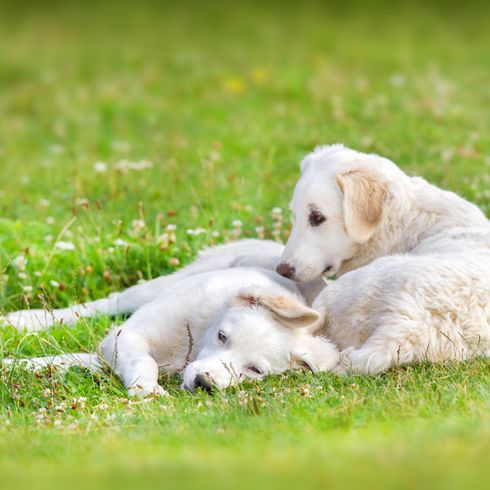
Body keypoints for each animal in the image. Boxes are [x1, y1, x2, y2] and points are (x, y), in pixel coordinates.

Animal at [2, 239, 336, 396]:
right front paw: (147, 389)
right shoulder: (126, 337)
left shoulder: (105, 353)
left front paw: (16, 365)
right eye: (222, 336)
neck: (196, 340)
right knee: (107, 303)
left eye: (255, 370)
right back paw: (22, 319)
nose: (203, 383)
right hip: (161, 285)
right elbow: (144, 360)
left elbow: (60, 361)